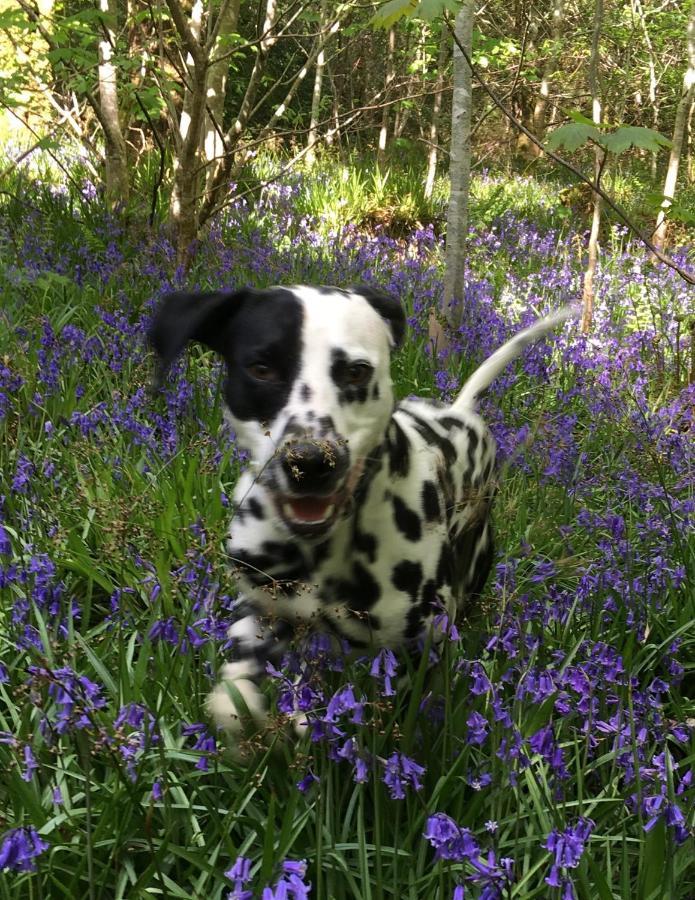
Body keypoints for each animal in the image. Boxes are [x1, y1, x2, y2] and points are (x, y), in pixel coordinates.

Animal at [148, 286, 572, 732]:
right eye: (260, 368)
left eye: (356, 372)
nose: (311, 461)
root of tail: (461, 412)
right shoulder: (264, 615)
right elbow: (233, 696)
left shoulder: (420, 644)